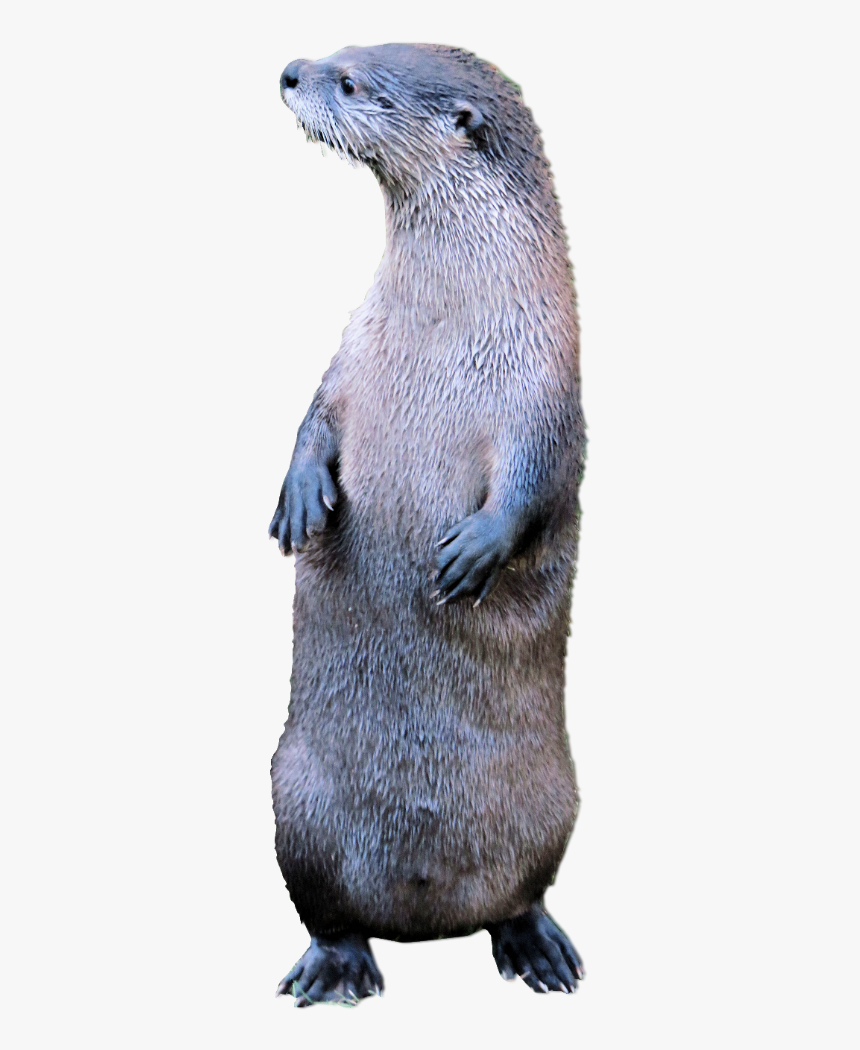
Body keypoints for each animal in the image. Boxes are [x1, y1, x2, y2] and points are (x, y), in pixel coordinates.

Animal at [269, 44, 586, 1006]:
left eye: (353, 82)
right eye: (341, 53)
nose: (293, 67)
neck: (445, 326)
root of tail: (425, 917)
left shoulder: (545, 383)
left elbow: (536, 477)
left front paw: (475, 551)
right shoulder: (350, 355)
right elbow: (315, 417)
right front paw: (299, 498)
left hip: (556, 803)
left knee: (522, 892)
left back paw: (536, 948)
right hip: (293, 801)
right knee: (327, 908)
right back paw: (335, 967)